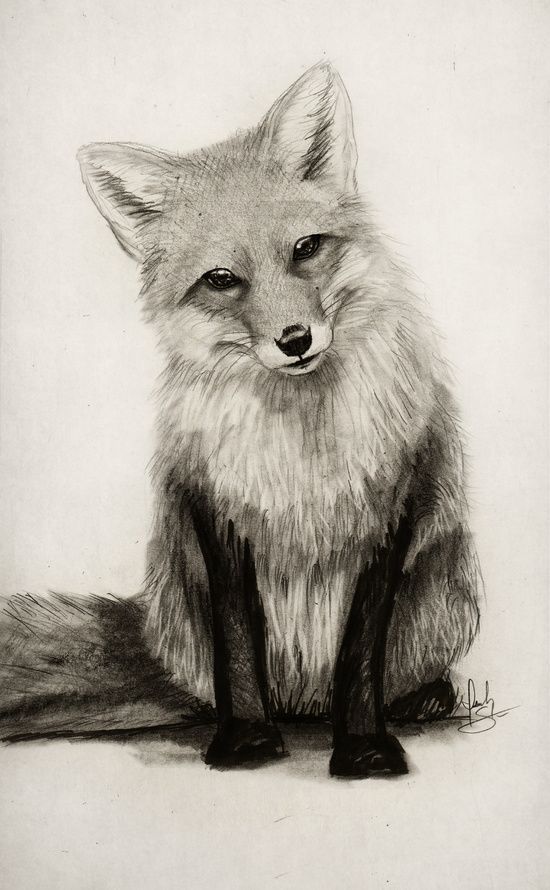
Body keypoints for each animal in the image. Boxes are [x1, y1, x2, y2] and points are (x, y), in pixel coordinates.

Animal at [0, 63, 481, 777]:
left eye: (306, 248)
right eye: (222, 279)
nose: (295, 339)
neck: (299, 452)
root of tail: (303, 704)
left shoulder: (391, 505)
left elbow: (361, 652)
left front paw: (365, 747)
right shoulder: (216, 510)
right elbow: (237, 642)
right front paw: (247, 740)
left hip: (443, 596)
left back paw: (424, 696)